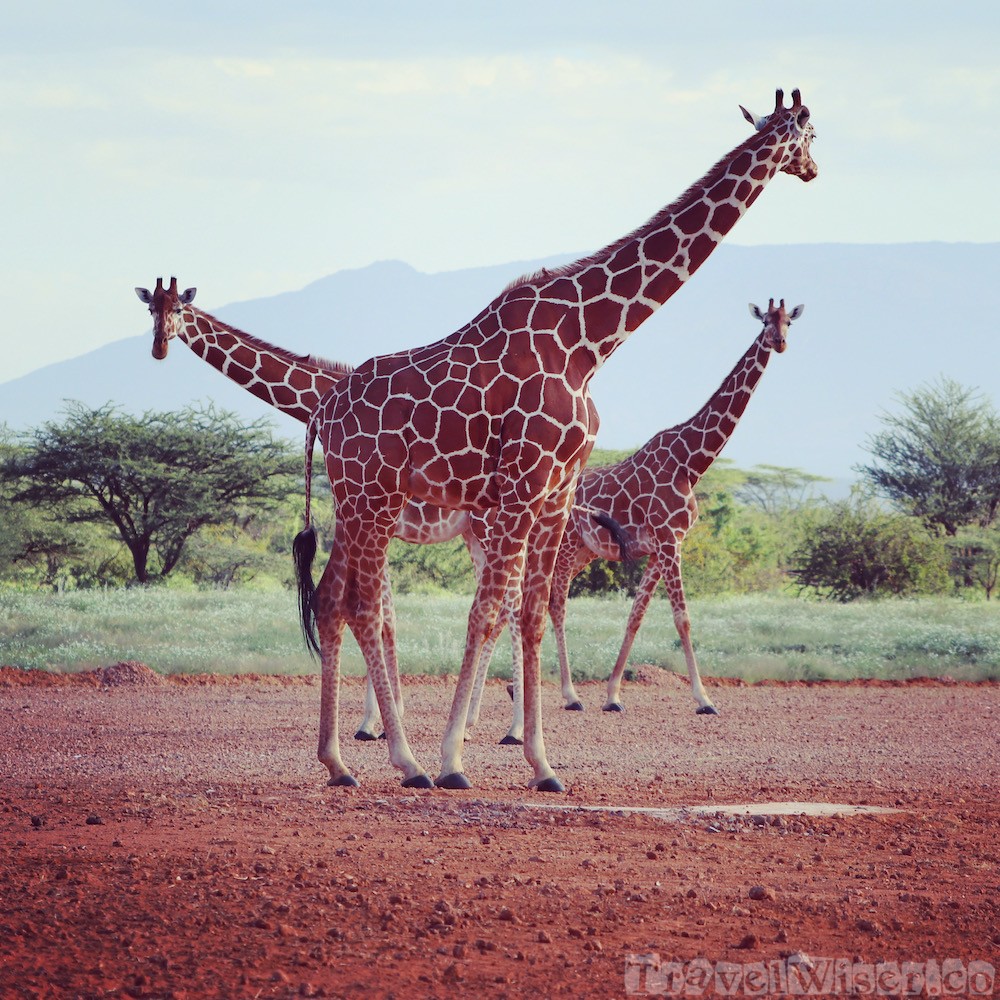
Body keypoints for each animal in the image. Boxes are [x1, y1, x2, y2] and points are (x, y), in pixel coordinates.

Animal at [472, 298, 805, 725]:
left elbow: (637, 615)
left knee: (521, 605)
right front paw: (704, 698)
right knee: (551, 605)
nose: (780, 342)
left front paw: (613, 695)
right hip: (563, 547)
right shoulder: (668, 541)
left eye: (789, 321)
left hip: (579, 553)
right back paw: (560, 694)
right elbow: (682, 618)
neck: (691, 462)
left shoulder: (662, 546)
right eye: (766, 321)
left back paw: (515, 691)